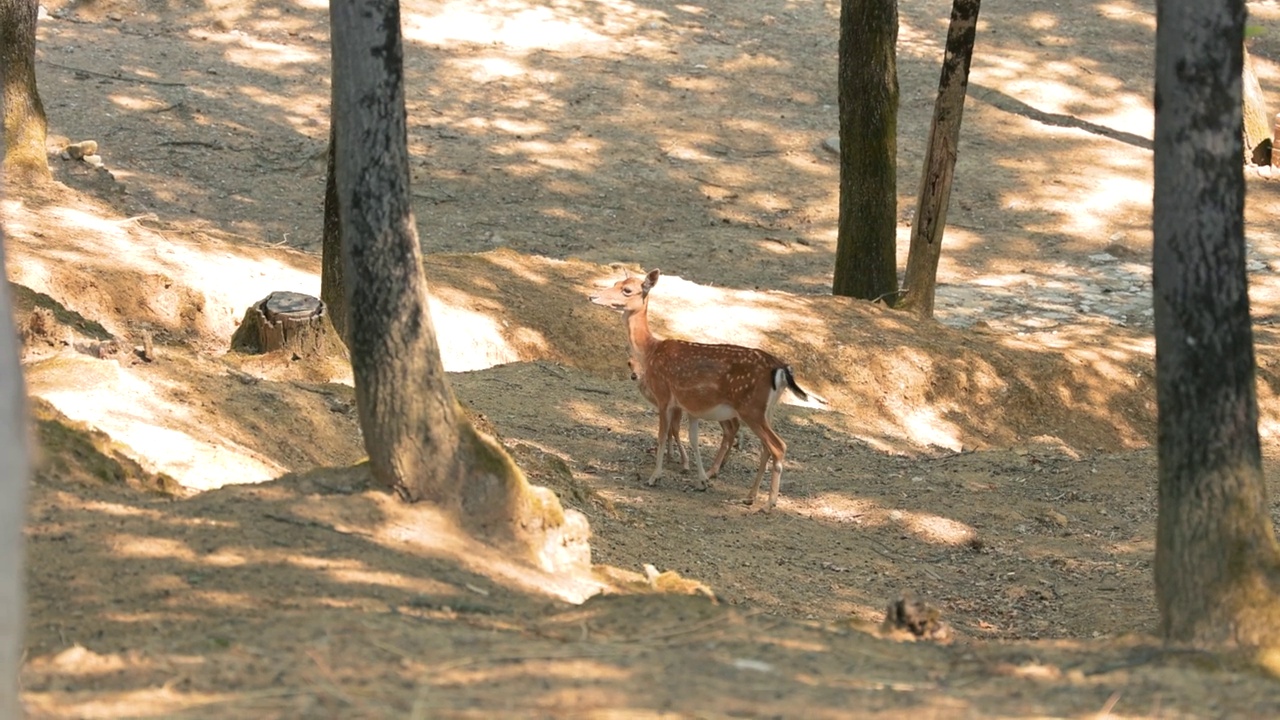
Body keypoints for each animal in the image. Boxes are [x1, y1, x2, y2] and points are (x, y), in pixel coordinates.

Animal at [588, 269, 808, 509]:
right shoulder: (691, 406)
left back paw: (769, 504)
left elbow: (662, 435)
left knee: (778, 446)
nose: (592, 296)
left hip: (751, 408)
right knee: (766, 448)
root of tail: (781, 368)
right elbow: (693, 439)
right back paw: (750, 496)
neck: (651, 351)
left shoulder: (664, 395)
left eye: (627, 290)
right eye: (616, 282)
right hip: (766, 410)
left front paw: (655, 477)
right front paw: (702, 480)